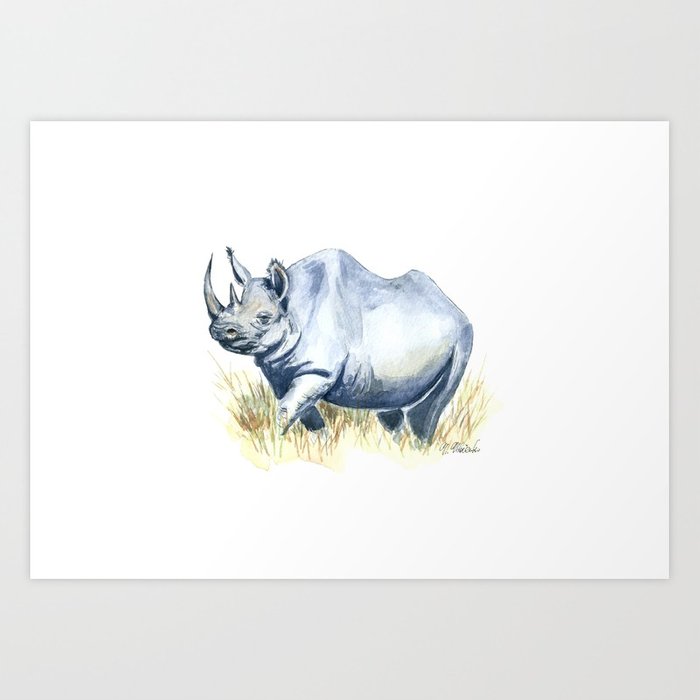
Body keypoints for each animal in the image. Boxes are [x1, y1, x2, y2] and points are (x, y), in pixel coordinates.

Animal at [204, 248, 473, 442]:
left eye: (263, 318)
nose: (219, 329)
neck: (292, 308)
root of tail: (452, 306)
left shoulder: (320, 371)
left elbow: (285, 410)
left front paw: (274, 448)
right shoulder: (279, 372)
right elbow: (303, 415)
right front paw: (319, 447)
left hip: (462, 337)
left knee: (430, 410)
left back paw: (419, 448)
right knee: (390, 408)